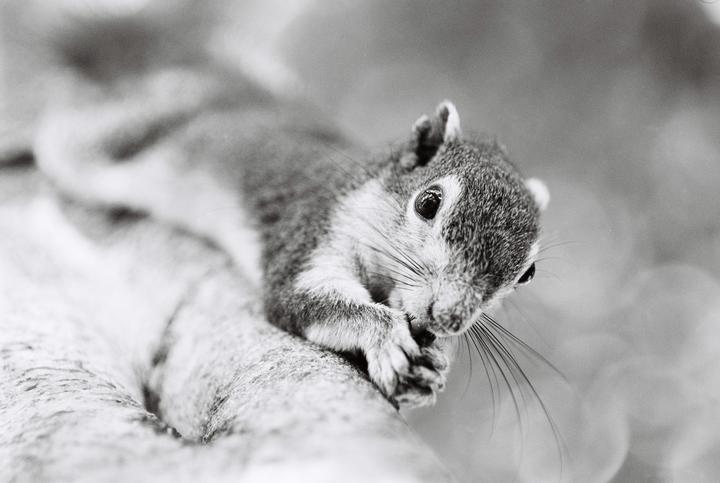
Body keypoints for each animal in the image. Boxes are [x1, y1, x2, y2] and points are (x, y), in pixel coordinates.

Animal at [34, 23, 549, 409]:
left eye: (527, 274)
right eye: (428, 203)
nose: (448, 318)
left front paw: (435, 364)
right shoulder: (309, 229)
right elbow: (306, 299)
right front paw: (385, 336)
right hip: (112, 144)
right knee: (65, 132)